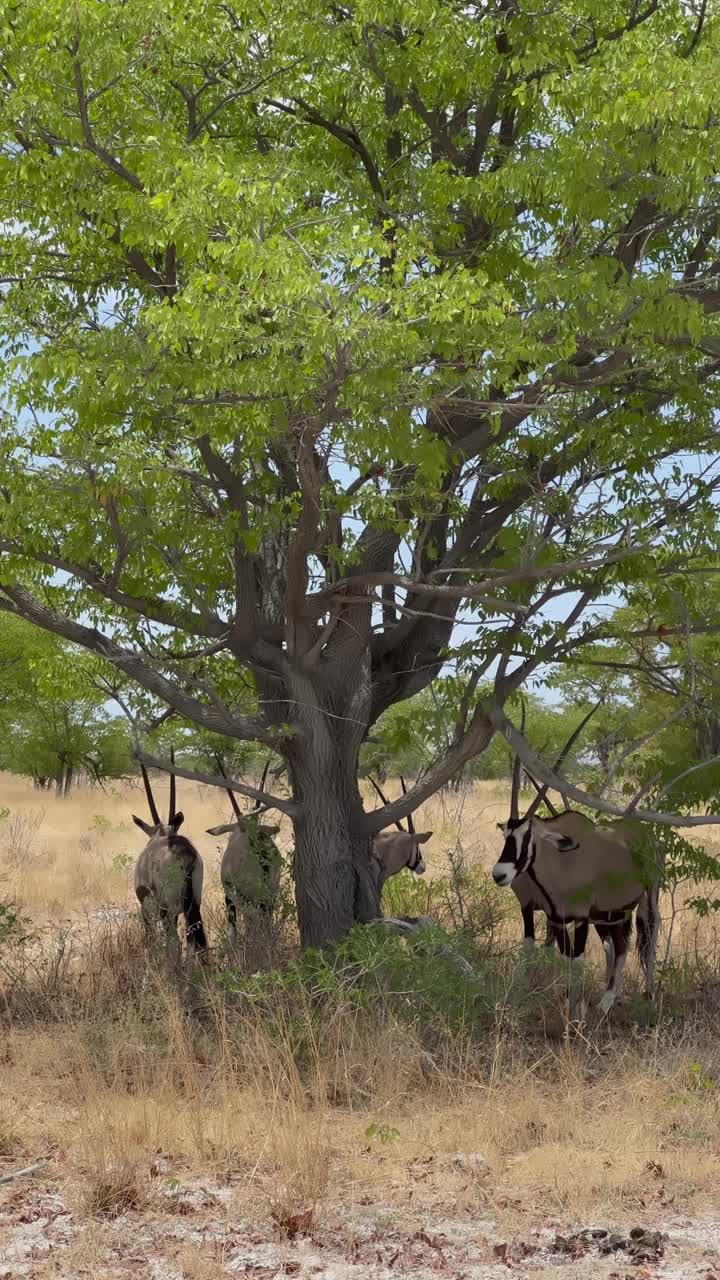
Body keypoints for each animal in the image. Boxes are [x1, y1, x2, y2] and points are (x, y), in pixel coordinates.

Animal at [132, 747, 207, 962]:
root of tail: (185, 853)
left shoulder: (148, 907)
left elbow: (150, 938)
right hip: (192, 905)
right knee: (195, 943)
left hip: (168, 908)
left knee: (175, 944)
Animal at [206, 757, 281, 942]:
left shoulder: (230, 893)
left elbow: (233, 926)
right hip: (270, 894)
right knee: (264, 920)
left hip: (249, 896)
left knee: (252, 920)